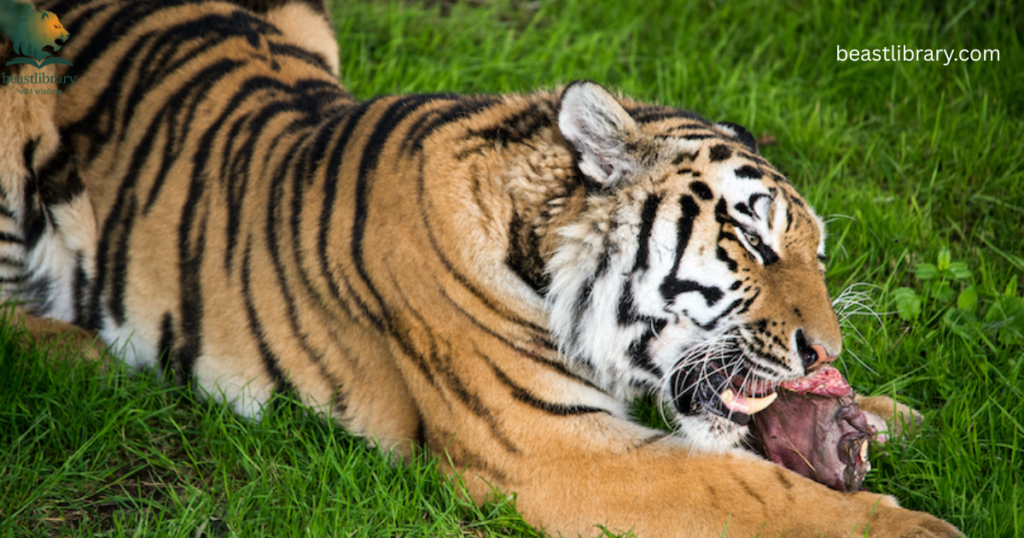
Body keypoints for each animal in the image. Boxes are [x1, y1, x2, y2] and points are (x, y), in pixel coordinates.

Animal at [0, 0, 961, 536]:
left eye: (818, 255)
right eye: (753, 242)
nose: (827, 353)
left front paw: (895, 418)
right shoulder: (559, 452)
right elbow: (757, 497)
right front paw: (921, 530)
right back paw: (80, 354)